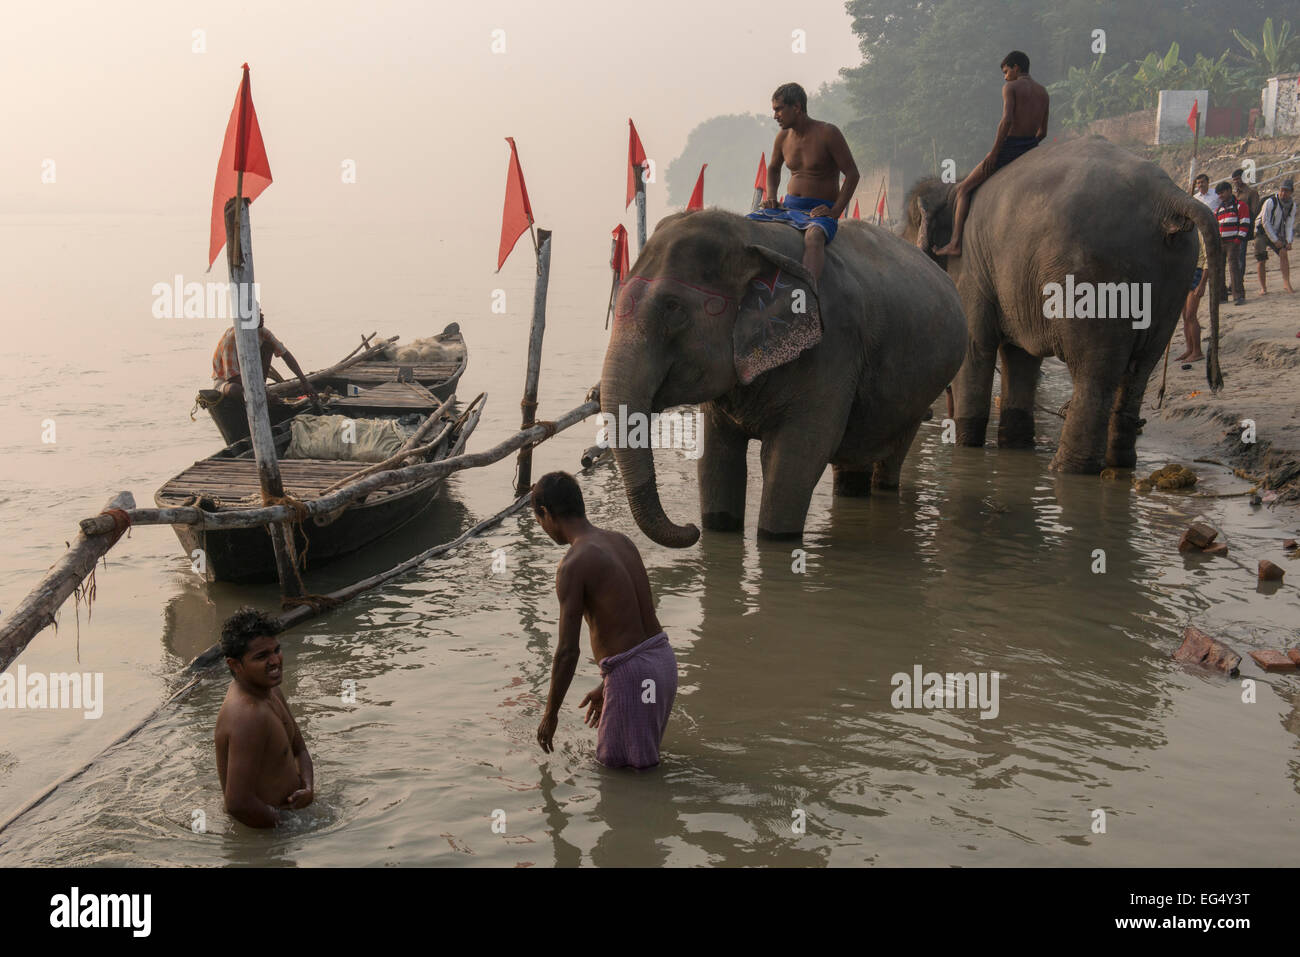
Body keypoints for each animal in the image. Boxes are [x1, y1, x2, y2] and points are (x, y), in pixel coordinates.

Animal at [598, 211, 967, 548]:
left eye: (673, 308)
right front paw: (716, 527)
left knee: (891, 454)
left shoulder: (833, 348)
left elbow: (797, 457)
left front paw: (775, 539)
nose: (690, 529)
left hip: (920, 393)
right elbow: (716, 455)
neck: (752, 237)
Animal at [909, 135, 1222, 475]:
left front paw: (965, 447)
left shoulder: (969, 269)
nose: (930, 415)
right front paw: (1016, 446)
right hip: (1175, 274)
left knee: (1093, 371)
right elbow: (1019, 355)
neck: (954, 187)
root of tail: (1168, 196)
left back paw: (1066, 469)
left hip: (1094, 274)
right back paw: (1119, 465)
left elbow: (976, 347)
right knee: (1140, 370)